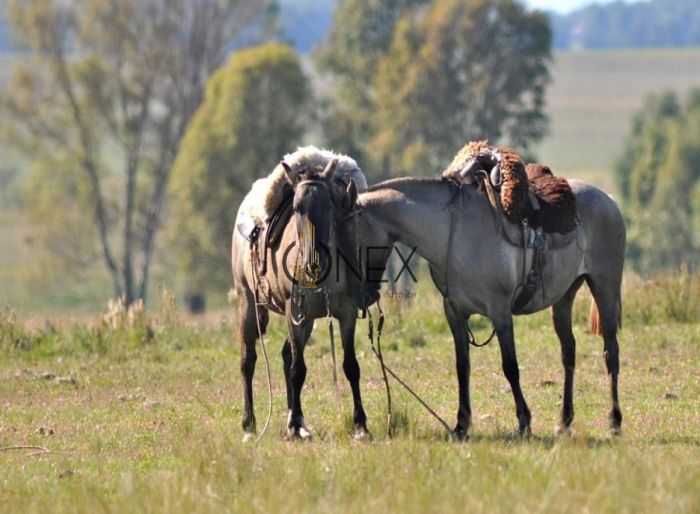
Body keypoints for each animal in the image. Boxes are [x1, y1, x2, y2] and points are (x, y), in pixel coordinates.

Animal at [356, 175, 624, 436]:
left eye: (352, 235)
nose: (362, 295)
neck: (454, 234)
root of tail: (609, 201)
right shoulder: (455, 314)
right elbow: (462, 367)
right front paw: (461, 424)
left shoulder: (500, 313)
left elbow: (510, 367)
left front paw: (524, 422)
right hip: (564, 296)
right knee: (568, 352)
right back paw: (565, 422)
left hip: (605, 287)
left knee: (611, 352)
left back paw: (614, 421)